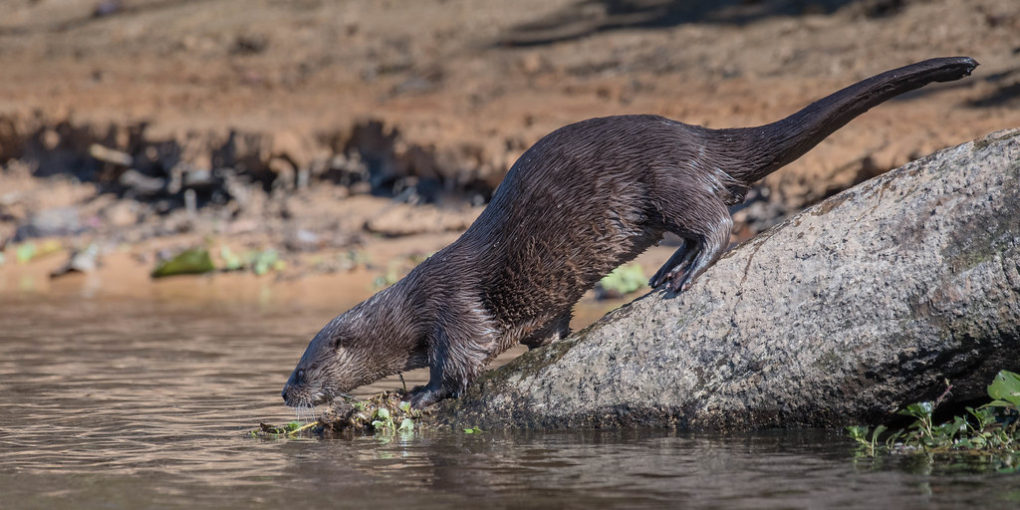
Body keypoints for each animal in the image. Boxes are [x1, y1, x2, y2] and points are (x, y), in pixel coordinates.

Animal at [281, 56, 979, 405]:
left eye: (304, 370)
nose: (284, 395)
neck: (410, 304)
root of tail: (697, 137)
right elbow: (546, 327)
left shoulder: (451, 308)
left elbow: (461, 360)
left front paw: (416, 399)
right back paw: (667, 272)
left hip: (663, 180)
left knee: (717, 221)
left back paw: (681, 276)